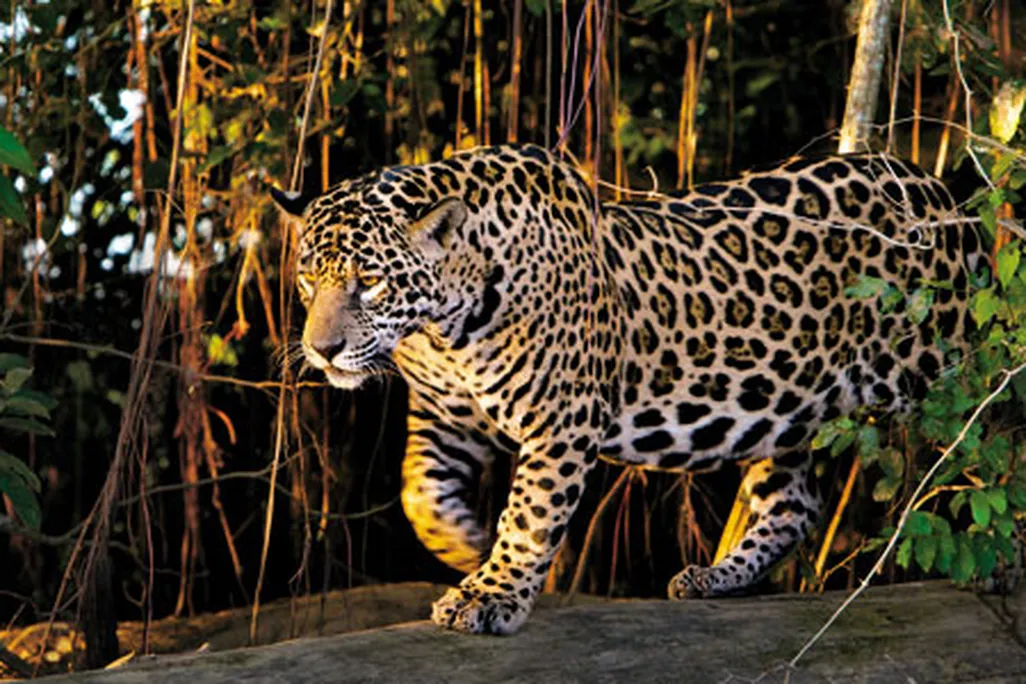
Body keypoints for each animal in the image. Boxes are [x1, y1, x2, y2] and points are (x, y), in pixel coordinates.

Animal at [271, 143, 984, 635]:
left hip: (944, 366)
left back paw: (996, 570)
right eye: (307, 278)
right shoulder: (445, 417)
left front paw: (493, 591)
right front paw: (467, 548)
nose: (321, 349)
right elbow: (419, 495)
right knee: (797, 503)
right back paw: (716, 577)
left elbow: (530, 516)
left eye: (369, 282)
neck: (443, 329)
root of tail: (938, 191)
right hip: (781, 404)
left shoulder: (561, 421)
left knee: (988, 436)